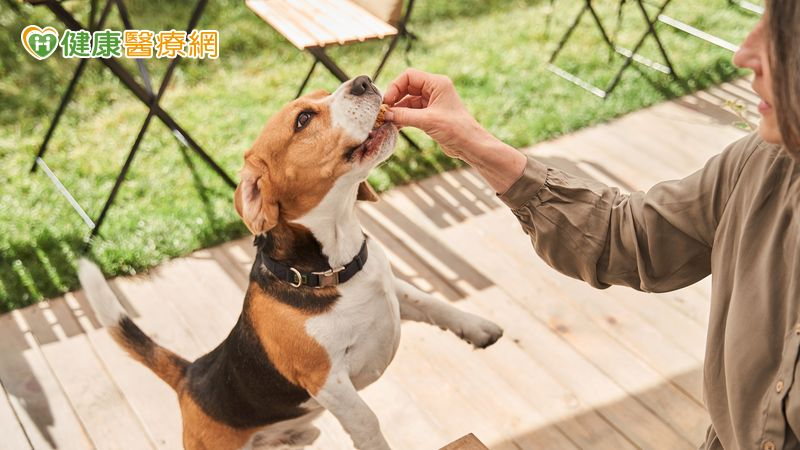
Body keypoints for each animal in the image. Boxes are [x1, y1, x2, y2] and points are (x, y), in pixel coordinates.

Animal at [90, 75, 504, 448]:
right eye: (303, 119)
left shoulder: (392, 289)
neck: (334, 266)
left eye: (324, 93)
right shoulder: (327, 381)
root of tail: (191, 374)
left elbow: (433, 302)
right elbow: (367, 420)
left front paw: (477, 327)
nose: (363, 81)